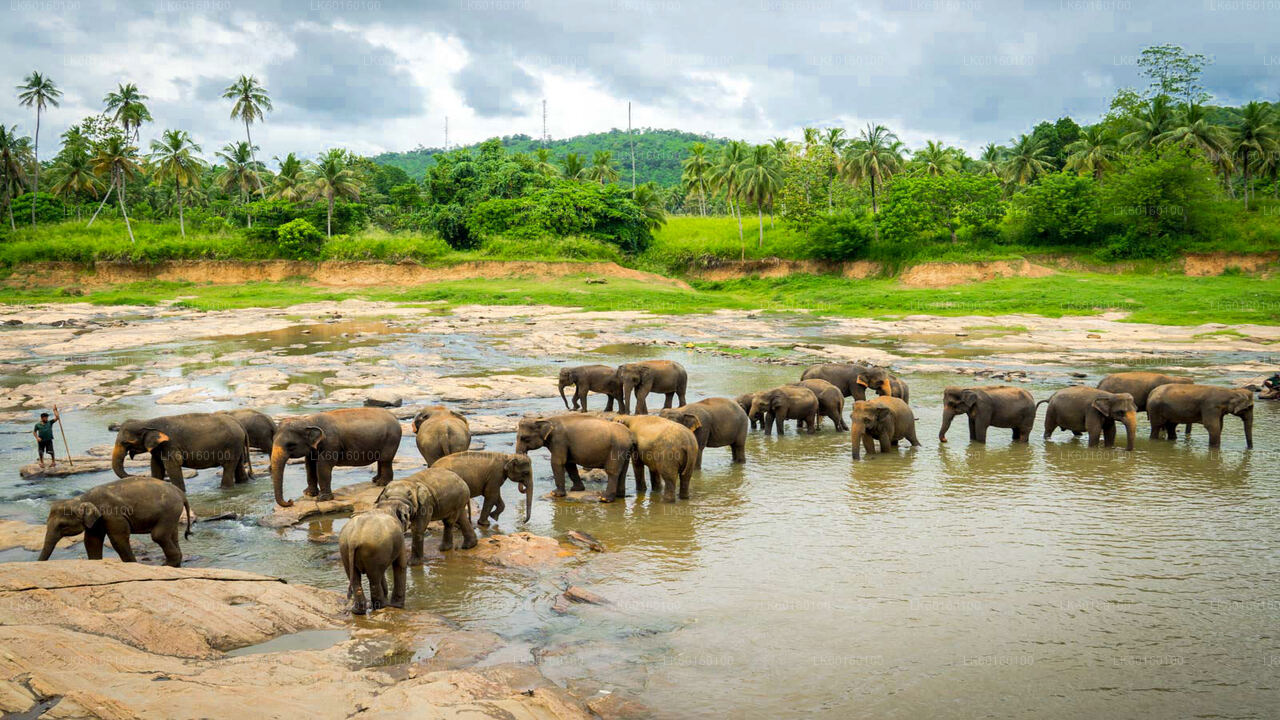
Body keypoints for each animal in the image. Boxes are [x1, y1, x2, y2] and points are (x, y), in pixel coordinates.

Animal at [39, 476, 192, 566]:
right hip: (172, 513)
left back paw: (167, 565)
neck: (82, 498)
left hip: (169, 511)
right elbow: (91, 540)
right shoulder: (98, 520)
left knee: (158, 535)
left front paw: (132, 564)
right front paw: (95, 562)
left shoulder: (112, 515)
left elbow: (118, 539)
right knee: (172, 535)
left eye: (62, 525)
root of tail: (181, 493)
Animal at [112, 412, 249, 489]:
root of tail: (239, 423)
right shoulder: (158, 448)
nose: (140, 476)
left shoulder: (170, 444)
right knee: (238, 465)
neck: (147, 422)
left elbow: (173, 464)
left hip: (232, 445)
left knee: (228, 466)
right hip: (238, 445)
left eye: (125, 443)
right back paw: (243, 483)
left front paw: (180, 491)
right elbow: (156, 465)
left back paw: (224, 488)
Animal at [272, 409, 401, 504]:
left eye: (291, 445)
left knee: (385, 460)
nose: (290, 501)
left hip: (391, 439)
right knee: (381, 461)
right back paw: (375, 480)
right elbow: (309, 465)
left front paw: (323, 499)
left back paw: (381, 483)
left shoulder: (331, 443)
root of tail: (395, 417)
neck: (309, 421)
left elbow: (323, 466)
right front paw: (309, 494)